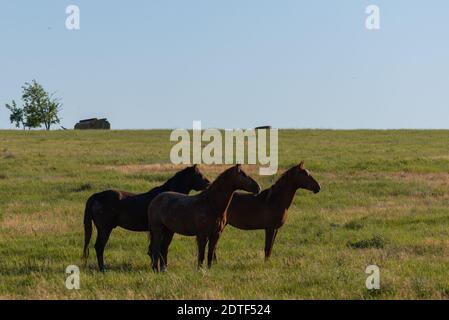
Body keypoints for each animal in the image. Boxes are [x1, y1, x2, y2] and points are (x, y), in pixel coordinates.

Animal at [81, 164, 210, 272]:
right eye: (199, 175)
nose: (208, 183)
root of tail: (96, 196)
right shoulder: (168, 231)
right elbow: (162, 248)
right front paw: (162, 268)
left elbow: (156, 248)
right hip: (105, 229)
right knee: (99, 246)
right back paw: (103, 269)